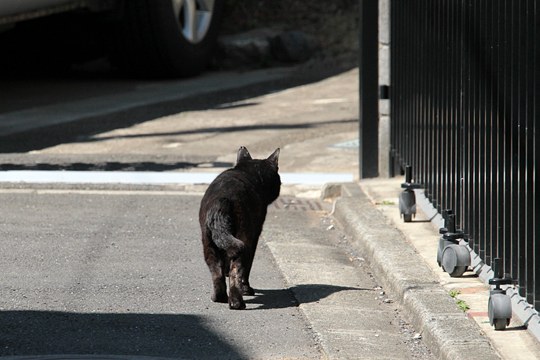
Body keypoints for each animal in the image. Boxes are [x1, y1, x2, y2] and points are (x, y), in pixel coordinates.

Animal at [199, 146, 282, 310]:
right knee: (236, 271)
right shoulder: (255, 235)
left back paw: (219, 297)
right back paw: (237, 302)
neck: (249, 173)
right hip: (244, 237)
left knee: (216, 271)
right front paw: (247, 290)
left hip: (208, 242)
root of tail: (221, 200)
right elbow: (247, 268)